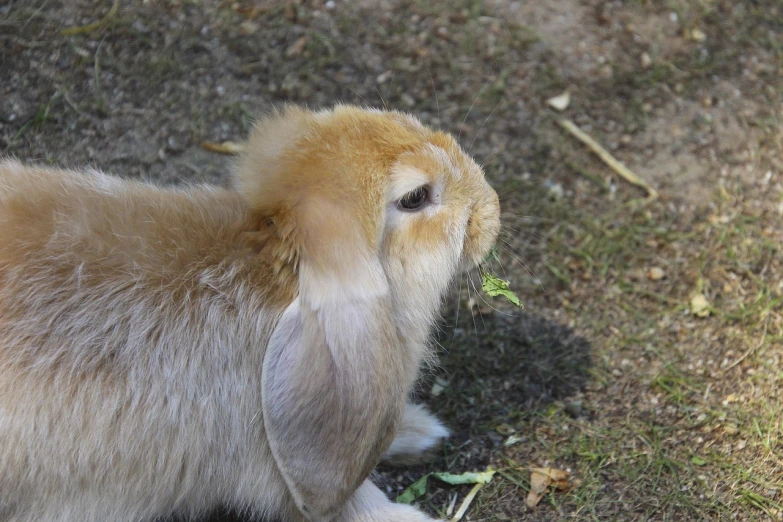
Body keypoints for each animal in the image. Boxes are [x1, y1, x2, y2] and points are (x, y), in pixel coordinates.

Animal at [0, 102, 502, 520]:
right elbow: (350, 500)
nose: (492, 206)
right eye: (416, 197)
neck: (270, 266)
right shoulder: (267, 464)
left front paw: (421, 430)